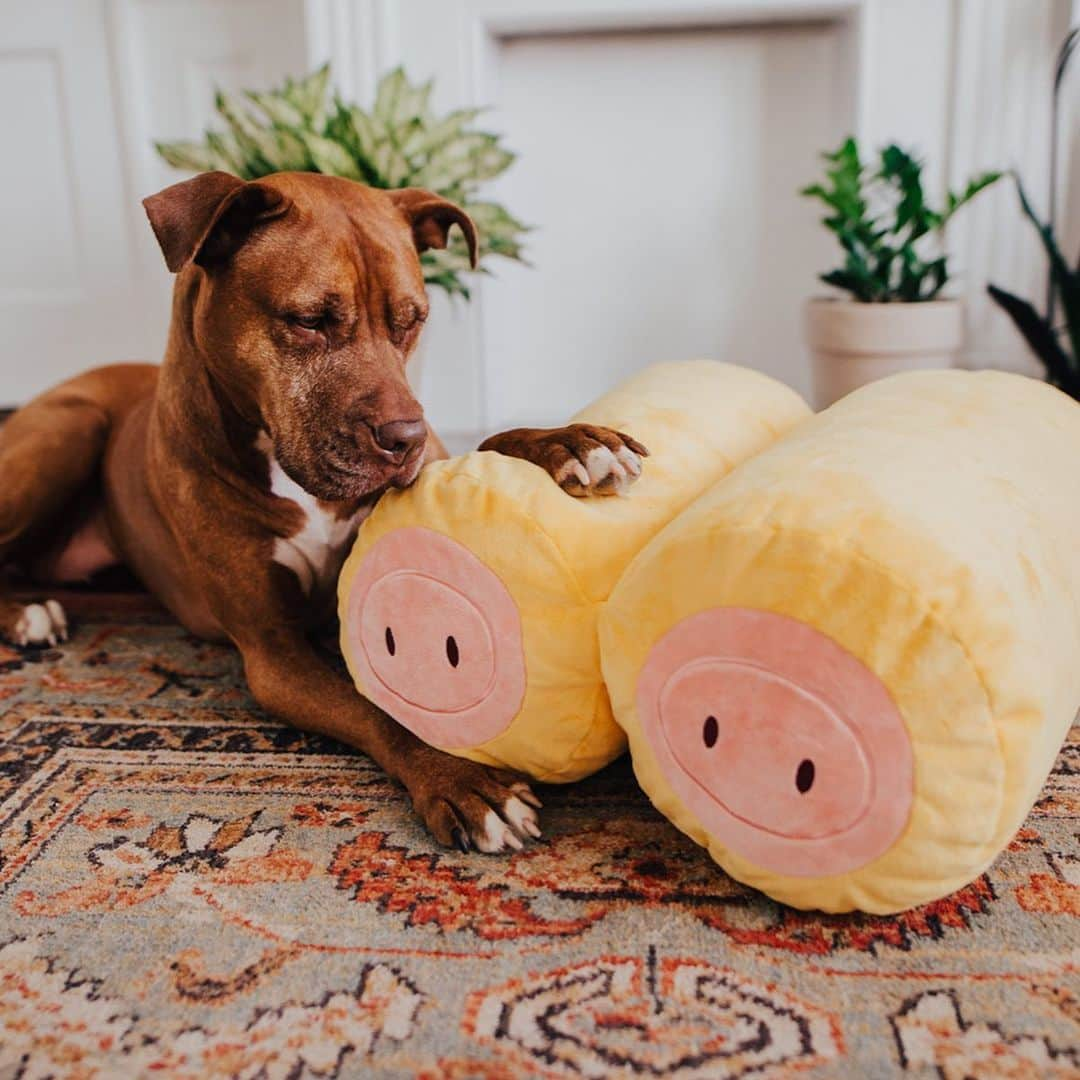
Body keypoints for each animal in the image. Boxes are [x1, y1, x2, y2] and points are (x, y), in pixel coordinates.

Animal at [0, 170, 639, 851]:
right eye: (308, 321)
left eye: (413, 320)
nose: (407, 438)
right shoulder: (273, 654)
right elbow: (375, 704)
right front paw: (461, 778)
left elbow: (491, 443)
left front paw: (569, 443)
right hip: (68, 430)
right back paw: (28, 616)